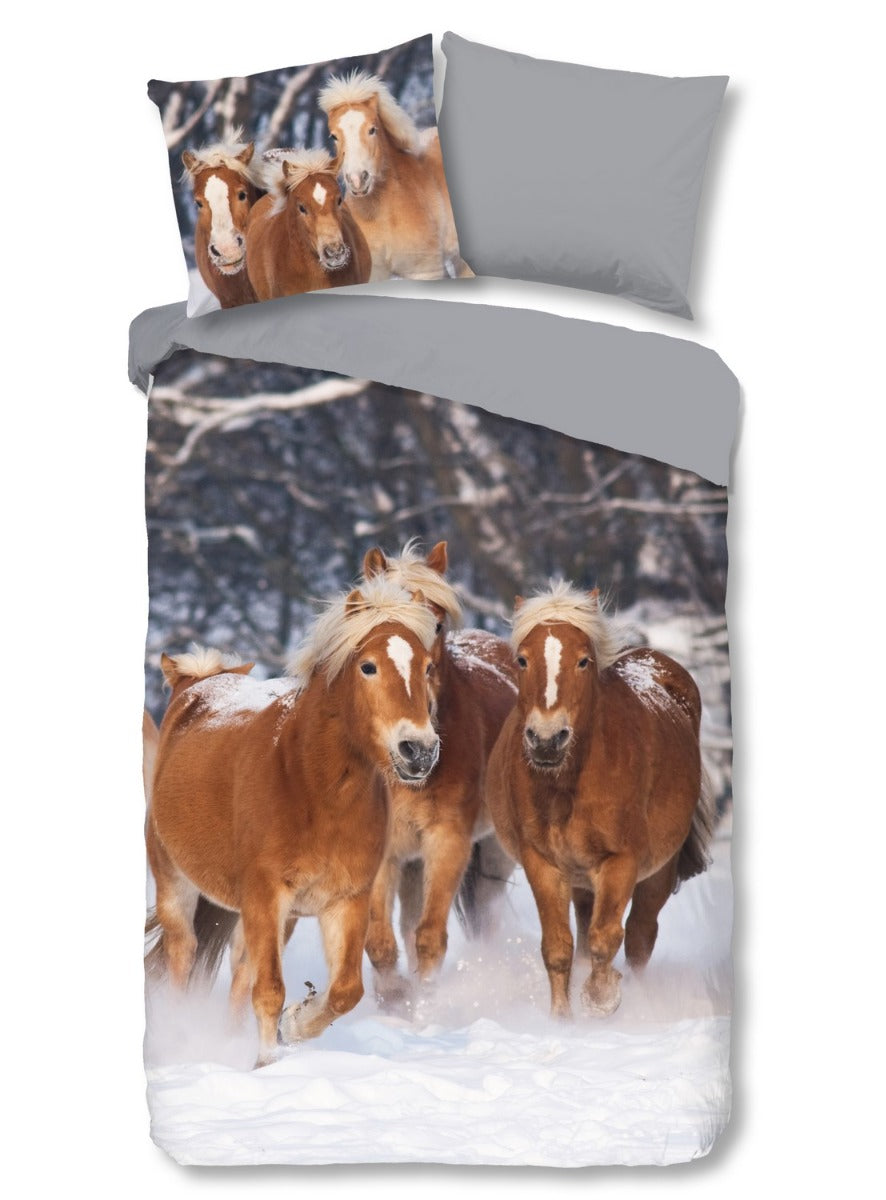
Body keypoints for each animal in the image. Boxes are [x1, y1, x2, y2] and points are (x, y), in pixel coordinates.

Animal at [145, 580, 439, 1067]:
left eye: (428, 667)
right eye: (368, 666)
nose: (419, 750)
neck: (311, 787)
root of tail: (196, 684)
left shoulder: (345, 900)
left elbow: (344, 992)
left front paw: (294, 1026)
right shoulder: (267, 896)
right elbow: (269, 990)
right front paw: (268, 1060)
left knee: (240, 971)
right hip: (176, 883)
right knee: (182, 956)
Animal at [359, 540, 517, 1003]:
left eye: (438, 624)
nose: (419, 748)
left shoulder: (448, 842)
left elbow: (429, 939)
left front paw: (427, 1004)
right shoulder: (387, 853)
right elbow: (381, 942)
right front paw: (395, 999)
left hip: (495, 854)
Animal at [487, 582, 713, 1020]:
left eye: (583, 661)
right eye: (522, 659)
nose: (546, 739)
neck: (569, 786)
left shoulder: (621, 862)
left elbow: (606, 938)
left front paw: (601, 998)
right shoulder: (543, 863)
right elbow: (559, 947)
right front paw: (562, 1020)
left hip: (658, 872)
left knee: (640, 936)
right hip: (582, 880)